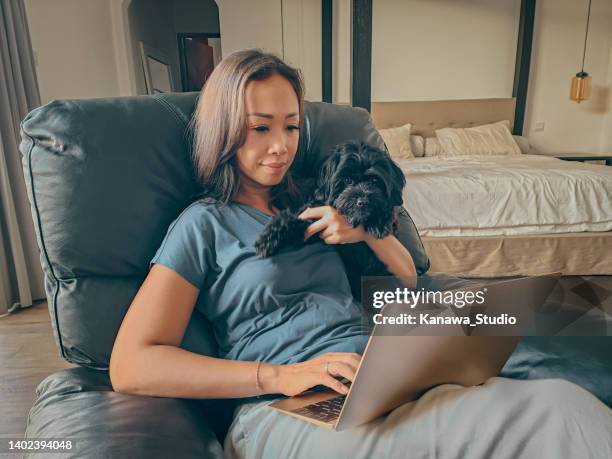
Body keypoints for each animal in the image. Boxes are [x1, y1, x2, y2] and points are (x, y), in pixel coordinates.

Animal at [253, 144, 406, 300]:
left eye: (375, 181)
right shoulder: (314, 221)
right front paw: (268, 239)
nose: (362, 201)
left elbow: (389, 211)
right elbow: (292, 218)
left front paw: (378, 221)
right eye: (348, 181)